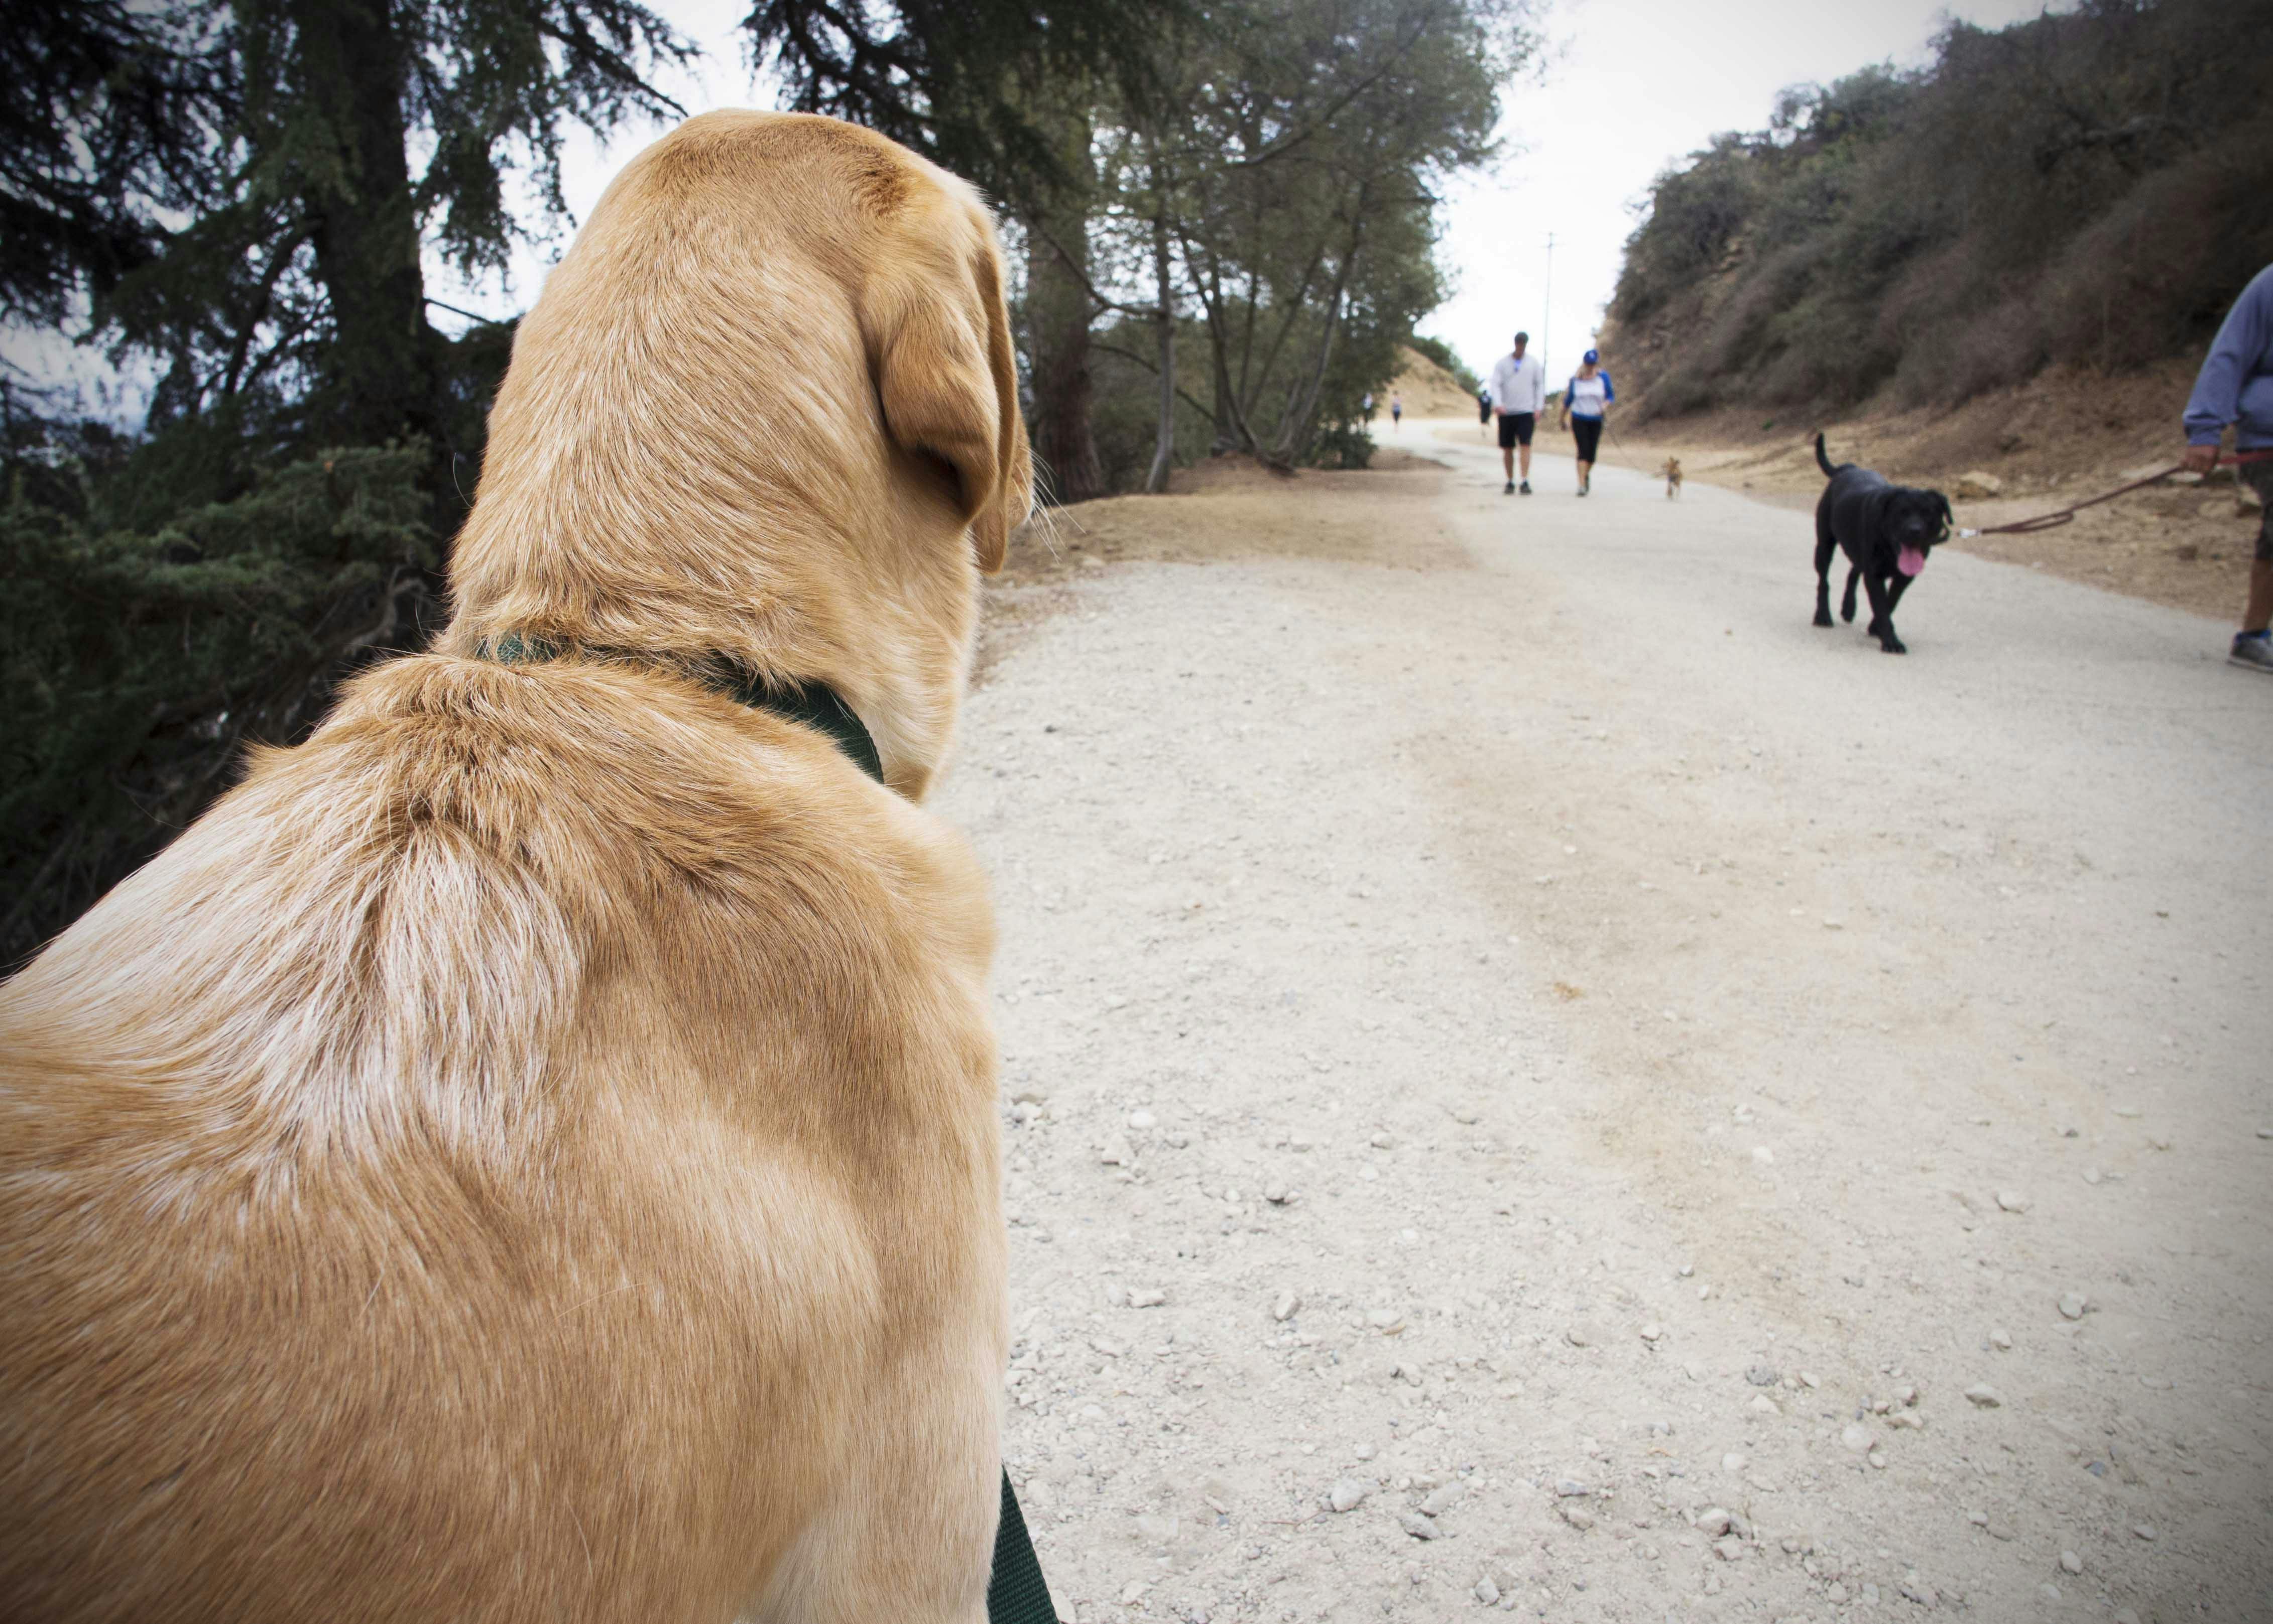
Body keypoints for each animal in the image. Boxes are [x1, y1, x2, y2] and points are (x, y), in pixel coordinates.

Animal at [1809, 436, 1955, 659]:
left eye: (1928, 513)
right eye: (1902, 513)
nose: (1915, 530)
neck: (1891, 550)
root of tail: (1849, 468)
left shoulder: (1904, 577)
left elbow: (1890, 602)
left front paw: (1876, 627)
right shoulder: (1875, 575)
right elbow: (1882, 605)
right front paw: (1891, 641)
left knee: (1853, 572)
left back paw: (1848, 608)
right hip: (1824, 545)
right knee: (1824, 581)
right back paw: (1823, 615)